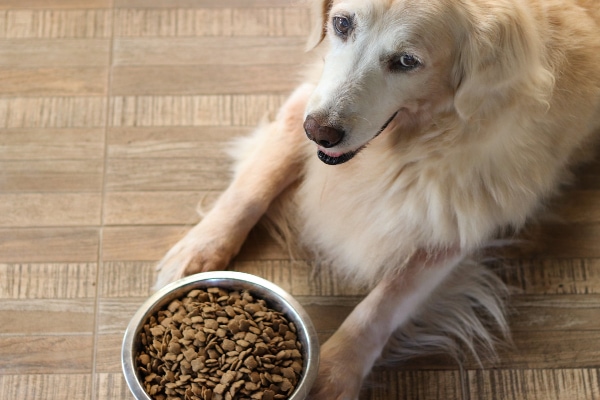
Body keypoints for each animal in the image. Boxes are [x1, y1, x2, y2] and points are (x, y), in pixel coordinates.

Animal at [156, 0, 600, 398]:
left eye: (407, 61)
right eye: (341, 24)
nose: (319, 133)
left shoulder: (455, 223)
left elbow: (381, 304)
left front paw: (334, 372)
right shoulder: (305, 99)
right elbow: (253, 186)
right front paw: (198, 251)